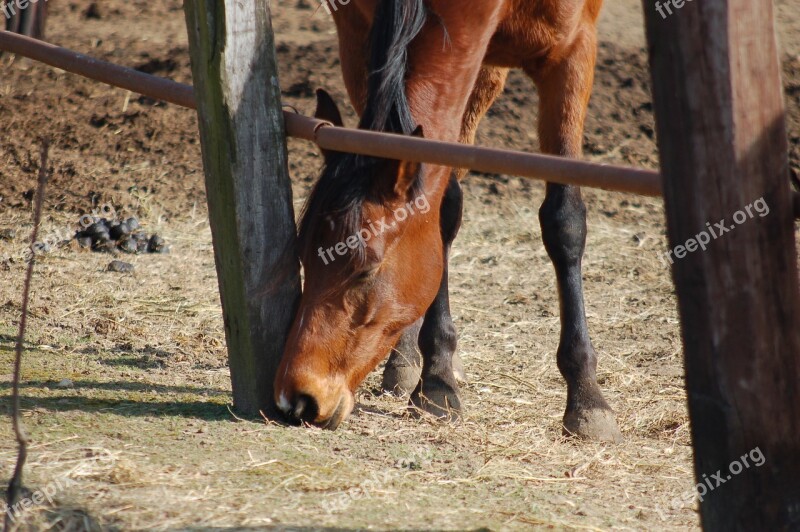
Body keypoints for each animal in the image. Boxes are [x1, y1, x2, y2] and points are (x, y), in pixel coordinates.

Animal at [272, 0, 620, 440]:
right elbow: (441, 212)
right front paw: (436, 381)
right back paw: (406, 361)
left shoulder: (574, 50)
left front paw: (588, 399)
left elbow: (565, 220)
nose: (297, 397)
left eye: (366, 270)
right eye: (302, 256)